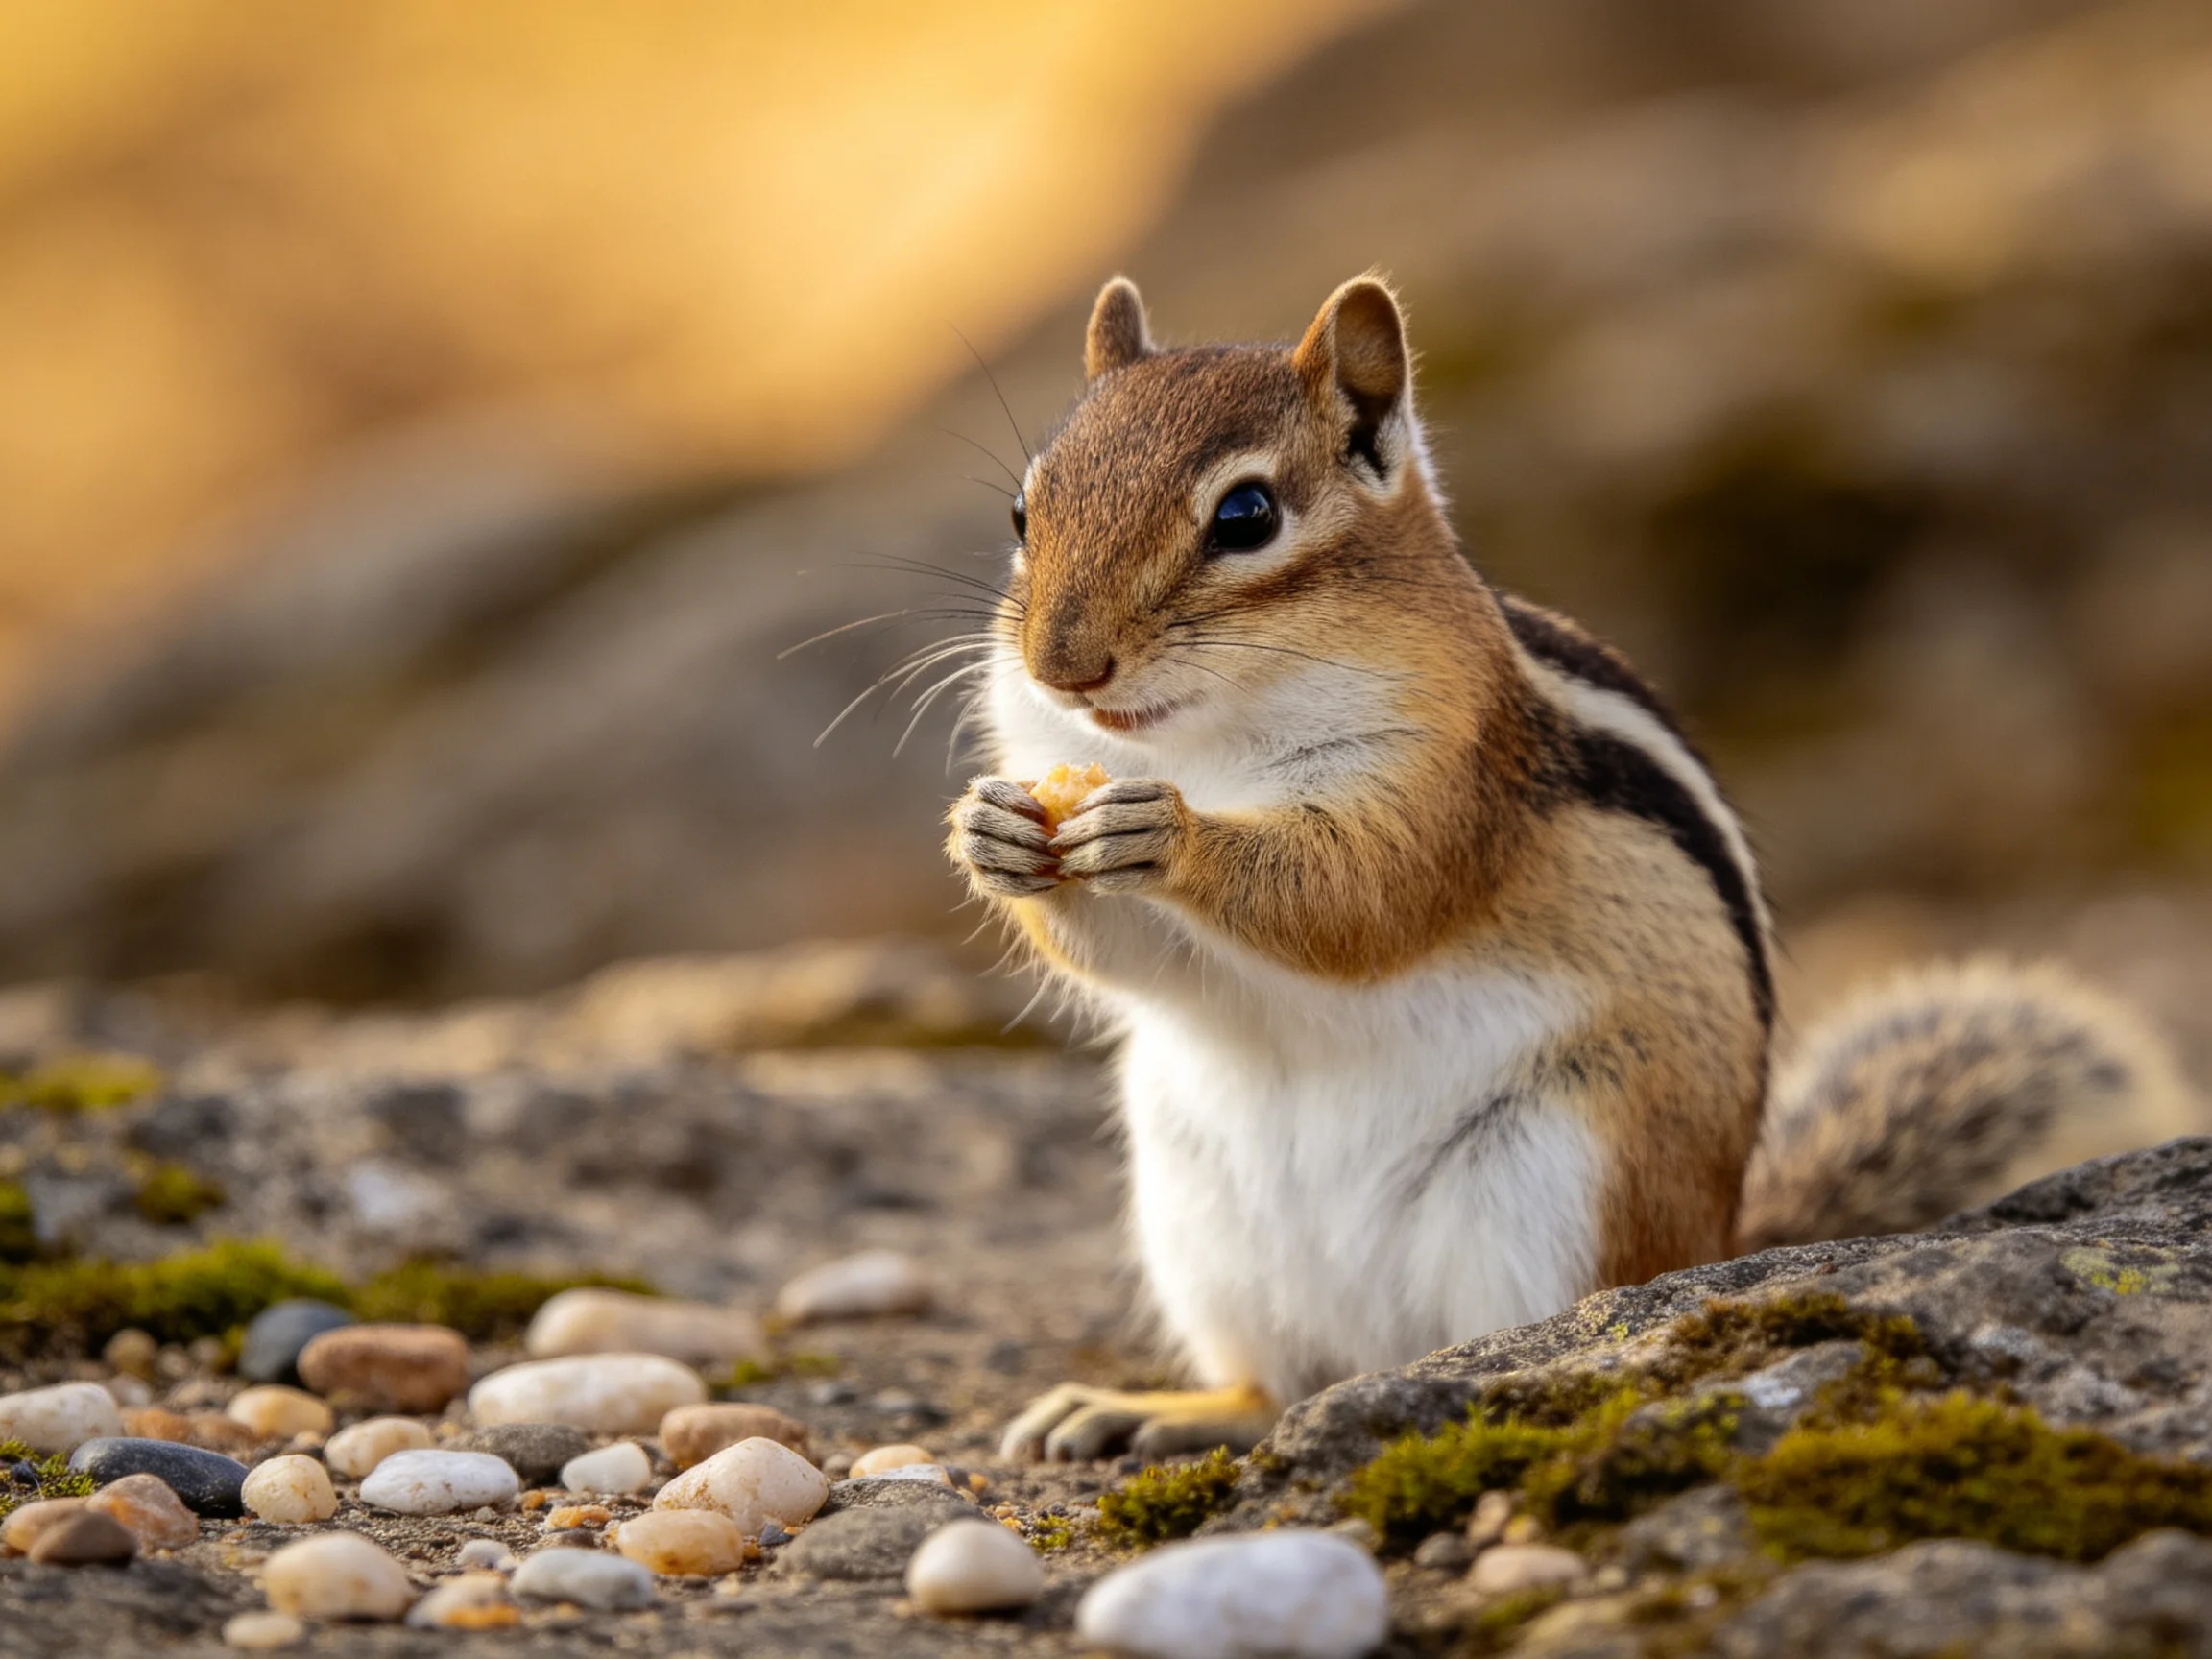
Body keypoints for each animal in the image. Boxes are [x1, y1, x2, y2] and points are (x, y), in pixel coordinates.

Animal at [943, 274, 2204, 1463]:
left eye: (1247, 516)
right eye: (1020, 509)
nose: (1062, 665)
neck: (1195, 742)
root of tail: (1720, 1242)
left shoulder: (1446, 781)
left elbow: (1356, 898)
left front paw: (1167, 838)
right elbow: (1125, 955)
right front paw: (992, 833)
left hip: (1557, 1178)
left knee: (1538, 1344)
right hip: (1199, 1219)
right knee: (1279, 1387)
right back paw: (1148, 1411)